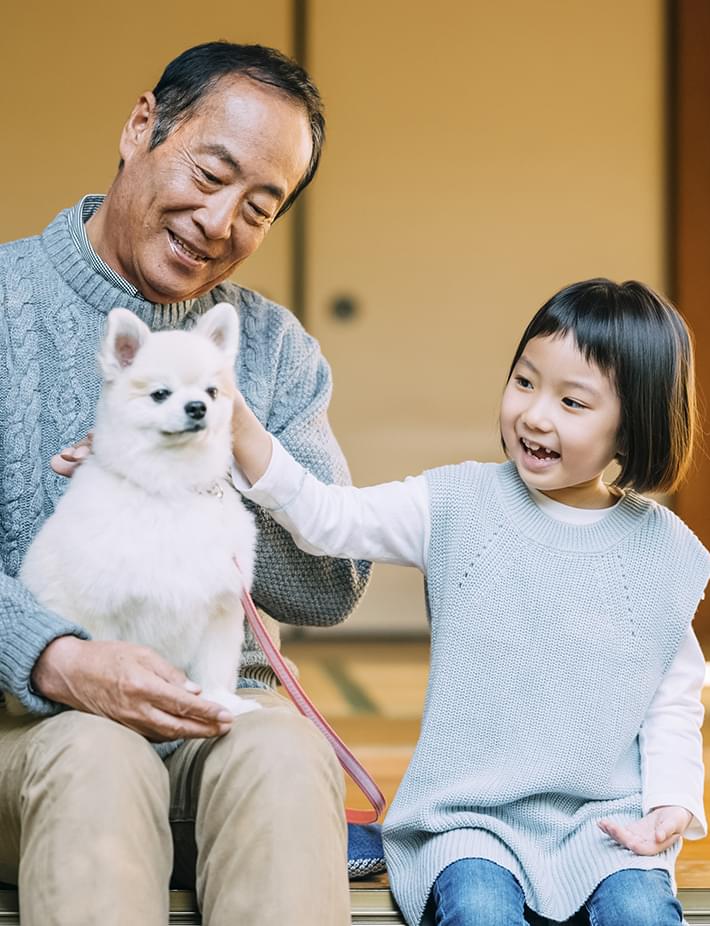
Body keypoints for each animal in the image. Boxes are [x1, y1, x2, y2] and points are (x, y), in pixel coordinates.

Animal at [17, 302, 258, 716]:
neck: (171, 487)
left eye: (212, 391)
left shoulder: (221, 609)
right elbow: (105, 654)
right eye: (160, 394)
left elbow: (213, 668)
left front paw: (223, 701)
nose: (198, 406)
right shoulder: (100, 607)